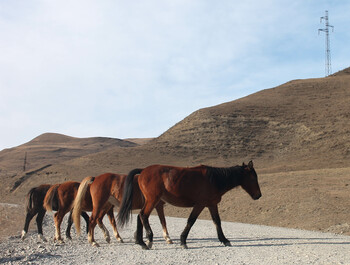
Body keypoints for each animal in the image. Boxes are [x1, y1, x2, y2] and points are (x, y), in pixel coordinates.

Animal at [119, 160, 262, 249]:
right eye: (253, 178)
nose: (258, 195)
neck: (214, 180)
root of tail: (143, 171)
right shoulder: (200, 205)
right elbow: (191, 221)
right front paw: (183, 241)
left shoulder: (212, 205)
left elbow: (217, 221)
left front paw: (225, 240)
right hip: (152, 200)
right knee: (143, 215)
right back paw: (148, 240)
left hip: (150, 201)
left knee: (140, 217)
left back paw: (140, 241)